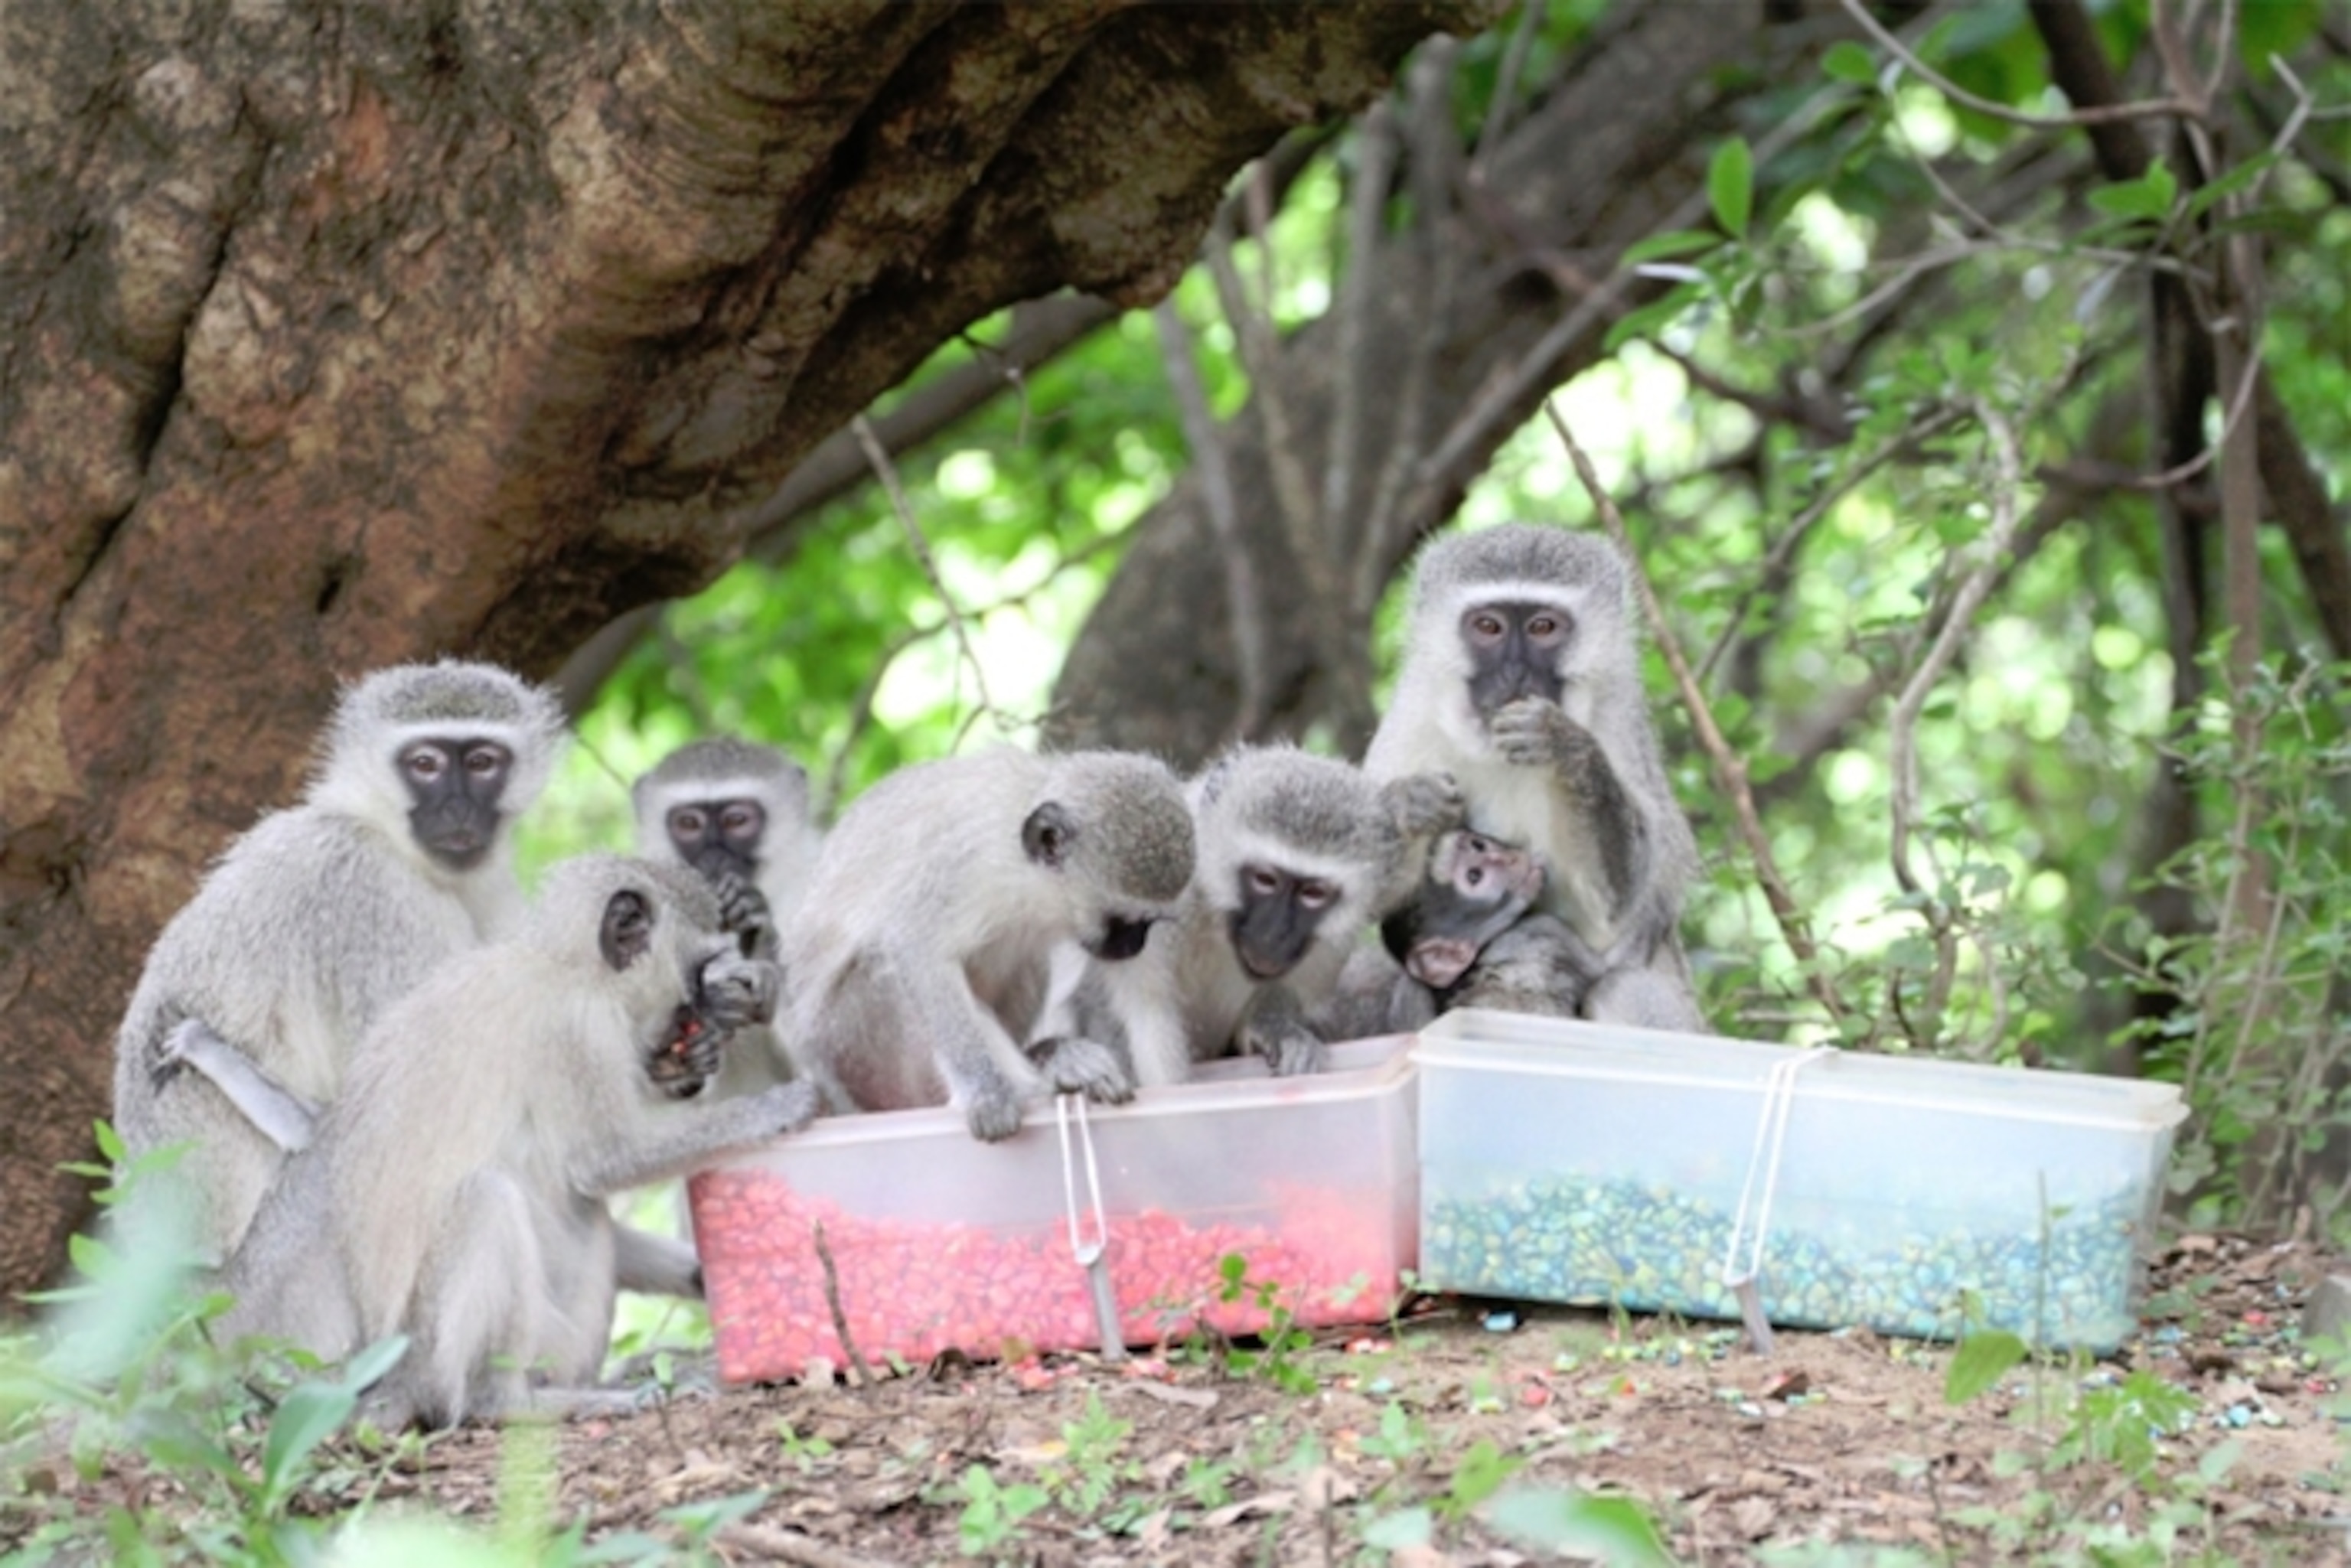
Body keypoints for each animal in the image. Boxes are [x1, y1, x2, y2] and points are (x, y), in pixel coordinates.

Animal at [217, 855, 816, 1429]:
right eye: (698, 980)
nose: (702, 1039)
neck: (566, 965)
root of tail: (389, 1390)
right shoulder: (577, 1027)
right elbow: (607, 1160)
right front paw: (781, 1107)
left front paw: (706, 1274)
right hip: (436, 1357)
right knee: (490, 1203)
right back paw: (510, 1402)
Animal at [780, 748, 1197, 1141]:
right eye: (1119, 923)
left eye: (1146, 924)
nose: (1132, 948)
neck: (1035, 881)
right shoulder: (966, 862)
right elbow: (919, 947)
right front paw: (986, 1092)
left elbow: (1144, 999)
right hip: (854, 1051)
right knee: (885, 966)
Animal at [1042, 746, 1458, 1084]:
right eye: (1265, 880)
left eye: (1313, 893)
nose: (1274, 934)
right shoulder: (1160, 900)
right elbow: (1133, 1007)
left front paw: (1273, 1028)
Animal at [1363, 523, 1706, 1032]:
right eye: (1489, 627)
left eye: (1543, 627)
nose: (1515, 673)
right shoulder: (1411, 717)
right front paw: (1410, 802)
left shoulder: (1618, 719)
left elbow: (1624, 903)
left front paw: (1564, 744)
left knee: (1623, 987)